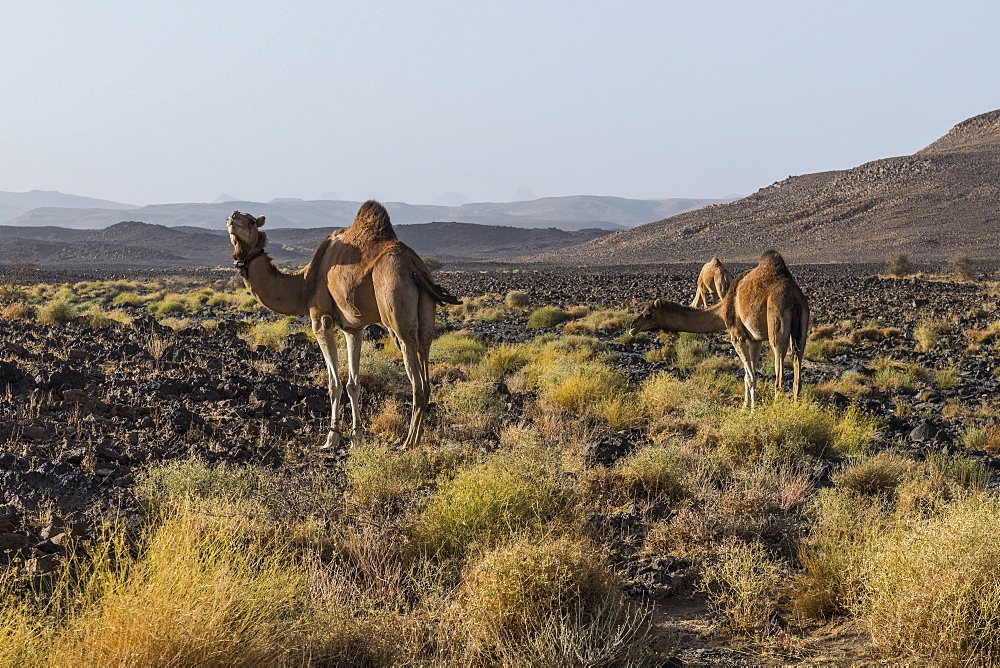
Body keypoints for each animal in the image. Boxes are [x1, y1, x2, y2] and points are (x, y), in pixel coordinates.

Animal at [227, 200, 458, 448]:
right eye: (231, 218)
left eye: (251, 221)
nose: (233, 217)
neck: (304, 284)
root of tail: (415, 266)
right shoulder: (353, 328)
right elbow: (353, 384)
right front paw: (357, 436)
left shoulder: (320, 319)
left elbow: (334, 384)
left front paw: (332, 437)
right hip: (426, 316)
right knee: (426, 361)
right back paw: (416, 438)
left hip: (396, 314)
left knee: (416, 378)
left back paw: (408, 442)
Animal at [632, 250, 812, 408]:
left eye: (648, 314)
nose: (632, 327)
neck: (724, 307)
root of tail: (793, 297)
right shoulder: (755, 339)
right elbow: (749, 375)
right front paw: (747, 406)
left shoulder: (737, 335)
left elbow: (750, 376)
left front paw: (750, 410)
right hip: (802, 326)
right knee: (797, 373)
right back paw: (795, 407)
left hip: (777, 323)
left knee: (779, 375)